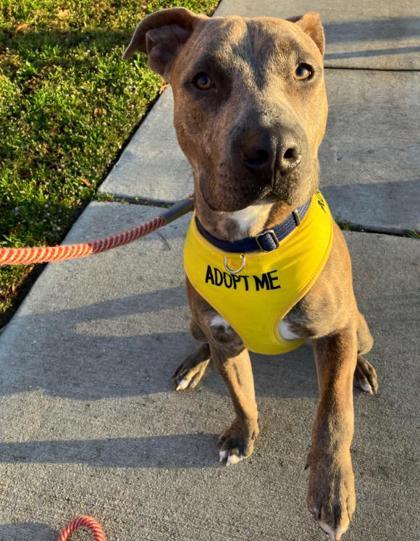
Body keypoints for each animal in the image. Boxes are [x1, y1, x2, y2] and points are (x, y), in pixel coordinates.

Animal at [123, 8, 378, 540]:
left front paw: (331, 488)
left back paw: (361, 371)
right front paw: (242, 436)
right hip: (195, 320)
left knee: (354, 360)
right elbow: (240, 394)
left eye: (305, 71)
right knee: (201, 339)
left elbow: (334, 413)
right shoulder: (225, 337)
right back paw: (192, 363)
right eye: (203, 80)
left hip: (359, 326)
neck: (252, 244)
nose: (274, 149)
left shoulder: (336, 330)